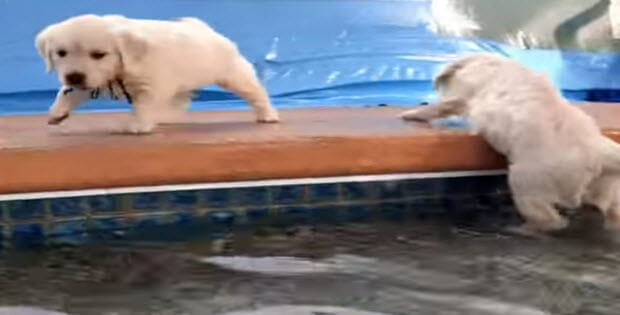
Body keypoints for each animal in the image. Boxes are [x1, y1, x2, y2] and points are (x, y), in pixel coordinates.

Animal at [32, 14, 278, 133]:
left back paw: (268, 114)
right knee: (181, 100)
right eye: (61, 53)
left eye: (99, 54)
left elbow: (144, 105)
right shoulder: (93, 79)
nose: (73, 76)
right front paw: (58, 112)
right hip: (183, 82)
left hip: (234, 73)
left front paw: (138, 125)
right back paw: (164, 116)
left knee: (256, 92)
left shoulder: (153, 84)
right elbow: (68, 93)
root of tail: (205, 29)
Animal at [400, 54, 620, 236]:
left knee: (549, 219)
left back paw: (518, 229)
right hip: (606, 188)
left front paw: (412, 113)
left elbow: (442, 106)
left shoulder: (464, 94)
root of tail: (598, 154)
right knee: (612, 211)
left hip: (527, 182)